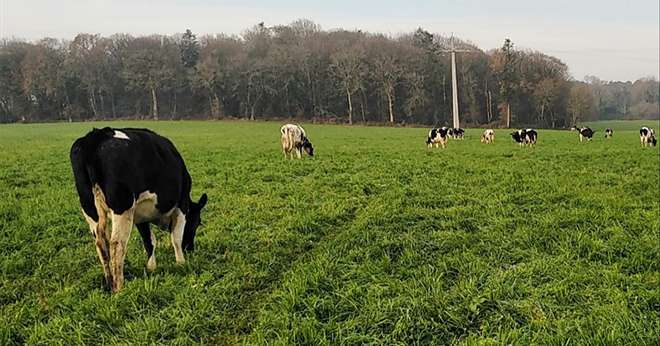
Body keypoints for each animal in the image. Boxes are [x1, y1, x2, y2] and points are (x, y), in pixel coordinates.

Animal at [71, 127, 208, 292]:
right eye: (197, 222)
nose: (190, 248)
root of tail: (97, 136)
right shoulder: (182, 206)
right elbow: (176, 238)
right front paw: (181, 263)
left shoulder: (140, 216)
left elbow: (149, 241)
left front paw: (151, 267)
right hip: (122, 207)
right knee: (116, 244)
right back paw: (119, 288)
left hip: (90, 209)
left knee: (101, 244)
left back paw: (109, 283)